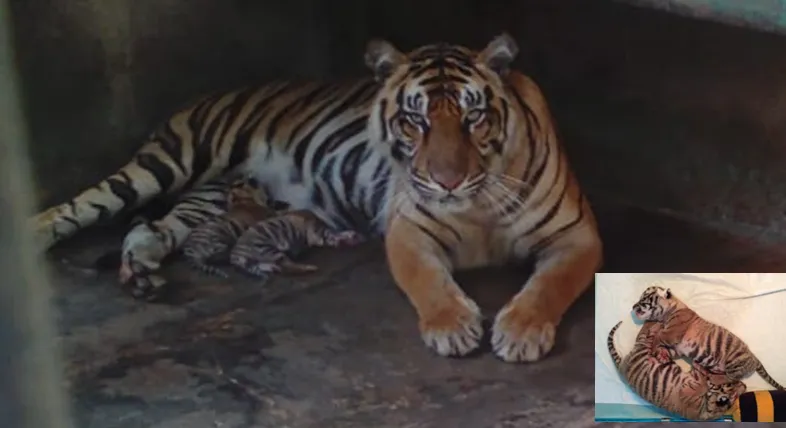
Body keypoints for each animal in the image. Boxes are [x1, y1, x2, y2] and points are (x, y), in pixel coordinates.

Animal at [230, 210, 364, 278]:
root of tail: (235, 254)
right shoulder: (319, 233)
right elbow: (334, 235)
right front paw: (349, 235)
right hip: (267, 249)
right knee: (288, 266)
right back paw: (309, 268)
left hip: (262, 259)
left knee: (271, 266)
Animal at [607, 320, 746, 421]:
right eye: (734, 382)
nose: (744, 385)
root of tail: (622, 367)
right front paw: (704, 368)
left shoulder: (690, 386)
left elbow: (701, 380)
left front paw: (702, 369)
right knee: (644, 334)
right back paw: (654, 323)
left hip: (642, 351)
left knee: (644, 335)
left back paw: (654, 324)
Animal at [632, 285, 786, 390]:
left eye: (643, 299)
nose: (633, 307)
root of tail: (754, 358)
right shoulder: (678, 348)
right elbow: (666, 346)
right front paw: (661, 355)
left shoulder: (671, 334)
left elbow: (658, 335)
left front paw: (653, 351)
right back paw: (703, 369)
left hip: (734, 363)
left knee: (730, 378)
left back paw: (710, 375)